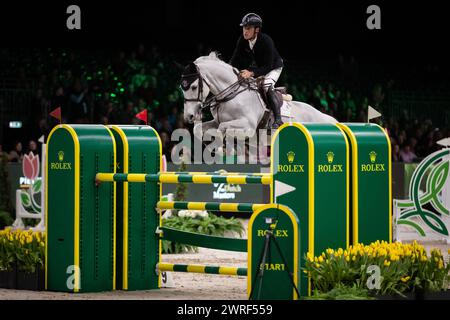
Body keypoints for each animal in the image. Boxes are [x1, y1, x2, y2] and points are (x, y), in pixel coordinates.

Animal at [180, 51, 338, 141]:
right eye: (182, 88)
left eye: (194, 87)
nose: (189, 117)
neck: (232, 96)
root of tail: (327, 118)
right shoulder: (217, 121)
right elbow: (199, 129)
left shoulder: (248, 125)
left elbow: (223, 128)